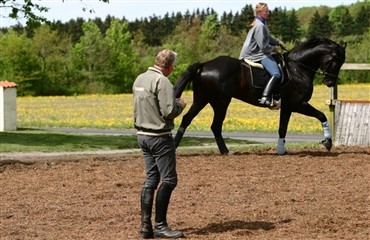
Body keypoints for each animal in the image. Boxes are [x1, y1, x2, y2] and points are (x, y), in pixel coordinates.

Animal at [173, 36, 346, 155]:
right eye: (336, 61)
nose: (330, 82)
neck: (298, 68)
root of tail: (204, 65)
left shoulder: (287, 107)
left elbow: (282, 128)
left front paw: (281, 150)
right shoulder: (298, 104)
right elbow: (322, 115)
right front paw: (328, 142)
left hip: (202, 99)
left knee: (187, 119)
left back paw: (175, 145)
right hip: (221, 102)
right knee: (215, 126)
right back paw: (225, 151)